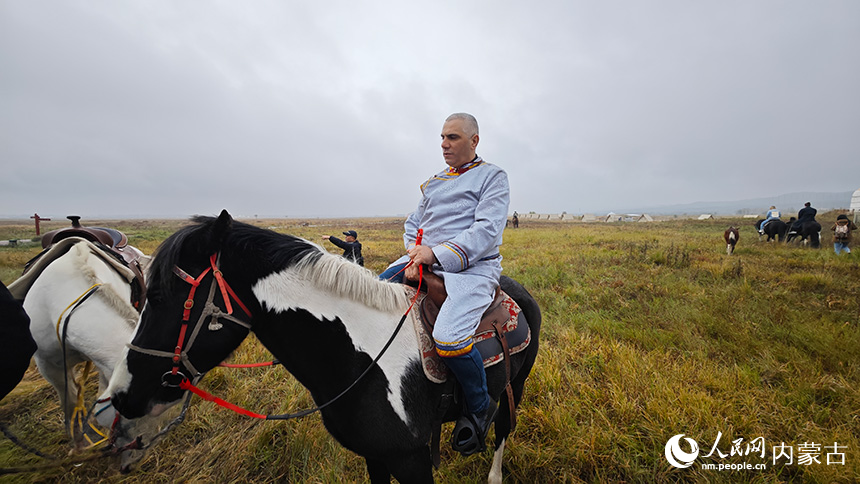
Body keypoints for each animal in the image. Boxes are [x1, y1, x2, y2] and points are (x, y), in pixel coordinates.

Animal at [106, 211, 536, 484]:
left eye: (158, 297)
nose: (120, 395)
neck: (361, 359)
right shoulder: (376, 456)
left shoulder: (411, 461)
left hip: (515, 386)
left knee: (503, 428)